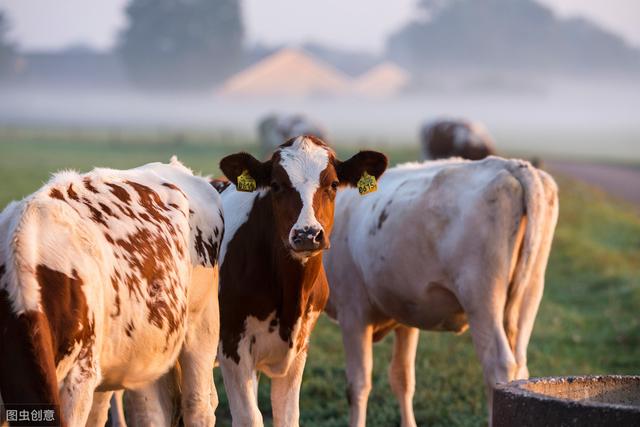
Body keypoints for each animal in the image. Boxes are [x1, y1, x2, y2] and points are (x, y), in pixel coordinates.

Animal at [215, 137, 384, 427]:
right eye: (276, 185)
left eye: (334, 184)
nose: (307, 234)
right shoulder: (231, 344)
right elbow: (249, 417)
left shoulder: (300, 346)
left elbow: (287, 415)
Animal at [322, 157, 556, 427]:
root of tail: (510, 165)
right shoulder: (405, 313)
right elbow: (402, 378)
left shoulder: (352, 311)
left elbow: (357, 384)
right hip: (531, 291)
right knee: (521, 366)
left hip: (481, 298)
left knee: (498, 365)